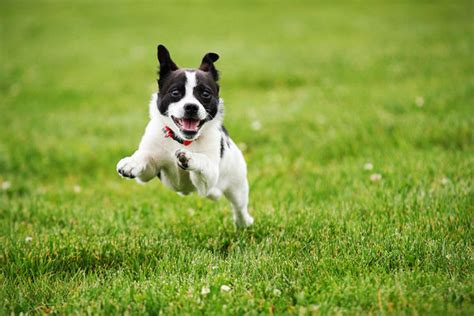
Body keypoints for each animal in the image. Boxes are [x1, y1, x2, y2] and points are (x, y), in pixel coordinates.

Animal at [116, 43, 254, 227]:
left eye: (205, 94)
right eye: (175, 93)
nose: (191, 107)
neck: (182, 140)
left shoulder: (208, 178)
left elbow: (203, 160)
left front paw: (189, 157)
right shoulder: (149, 173)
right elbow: (145, 156)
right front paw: (131, 162)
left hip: (236, 185)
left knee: (239, 206)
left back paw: (243, 222)